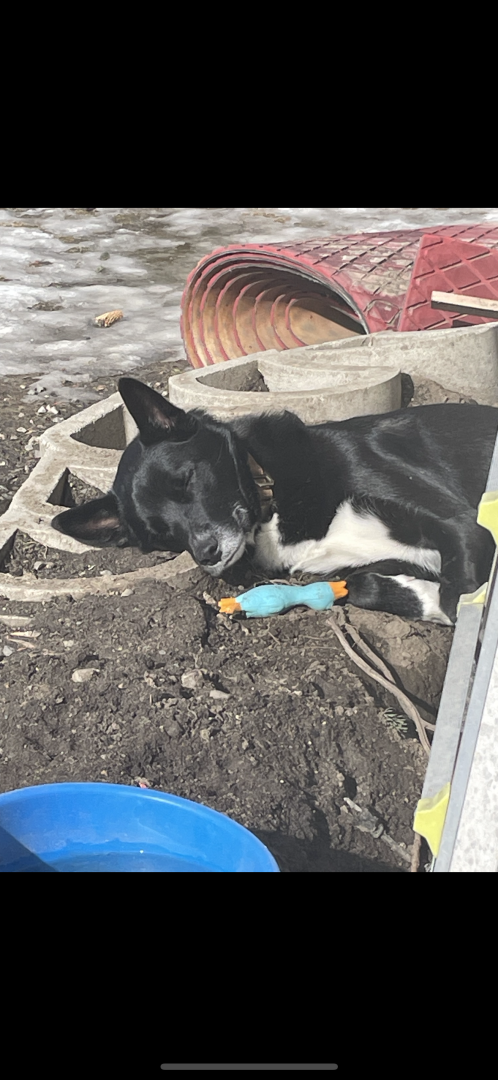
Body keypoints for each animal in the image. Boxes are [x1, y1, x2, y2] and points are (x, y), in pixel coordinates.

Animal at [52, 377, 498, 624]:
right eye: (160, 535)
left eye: (185, 480)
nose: (207, 554)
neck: (270, 499)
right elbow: (367, 585)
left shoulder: (464, 525)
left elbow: (461, 596)